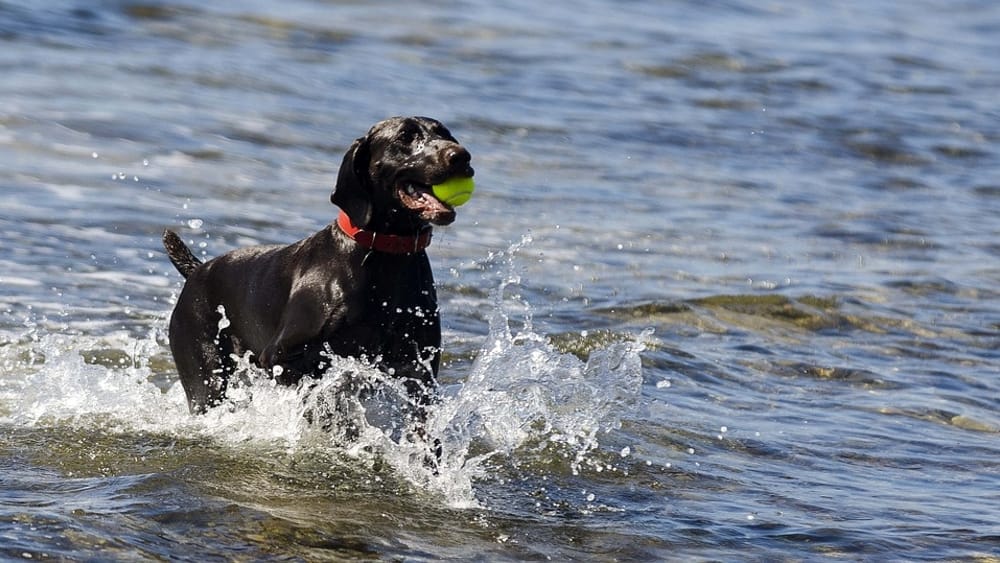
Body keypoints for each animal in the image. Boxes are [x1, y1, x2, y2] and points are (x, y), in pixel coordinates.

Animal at [162, 117, 474, 428]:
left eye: (445, 134)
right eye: (405, 136)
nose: (461, 156)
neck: (385, 256)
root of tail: (197, 270)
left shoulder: (417, 373)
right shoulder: (280, 357)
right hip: (206, 377)